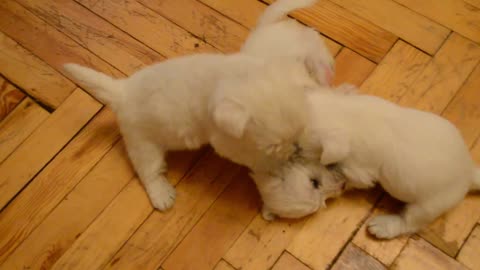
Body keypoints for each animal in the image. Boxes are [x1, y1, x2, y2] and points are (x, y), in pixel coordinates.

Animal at [62, 53, 316, 212]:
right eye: (274, 147)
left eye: (299, 132)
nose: (295, 151)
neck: (231, 77)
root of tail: (121, 92)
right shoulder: (227, 143)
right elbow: (253, 158)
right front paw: (272, 167)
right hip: (142, 142)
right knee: (148, 171)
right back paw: (161, 195)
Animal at [253, 86, 478, 238]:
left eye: (299, 146)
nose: (287, 156)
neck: (350, 117)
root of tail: (468, 174)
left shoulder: (359, 169)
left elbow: (351, 175)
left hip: (426, 207)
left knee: (409, 223)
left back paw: (383, 227)